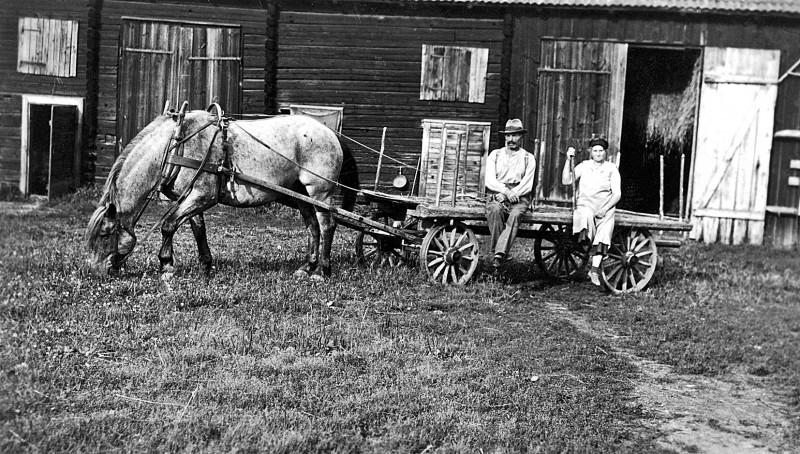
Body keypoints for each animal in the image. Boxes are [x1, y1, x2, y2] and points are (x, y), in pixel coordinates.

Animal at [86, 104, 358, 278]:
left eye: (104, 234)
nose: (95, 273)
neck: (176, 145)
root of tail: (330, 133)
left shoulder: (203, 196)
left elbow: (168, 225)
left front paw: (166, 266)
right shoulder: (191, 197)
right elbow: (198, 229)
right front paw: (206, 265)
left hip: (320, 192)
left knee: (326, 225)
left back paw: (322, 270)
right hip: (299, 193)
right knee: (312, 227)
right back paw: (306, 267)